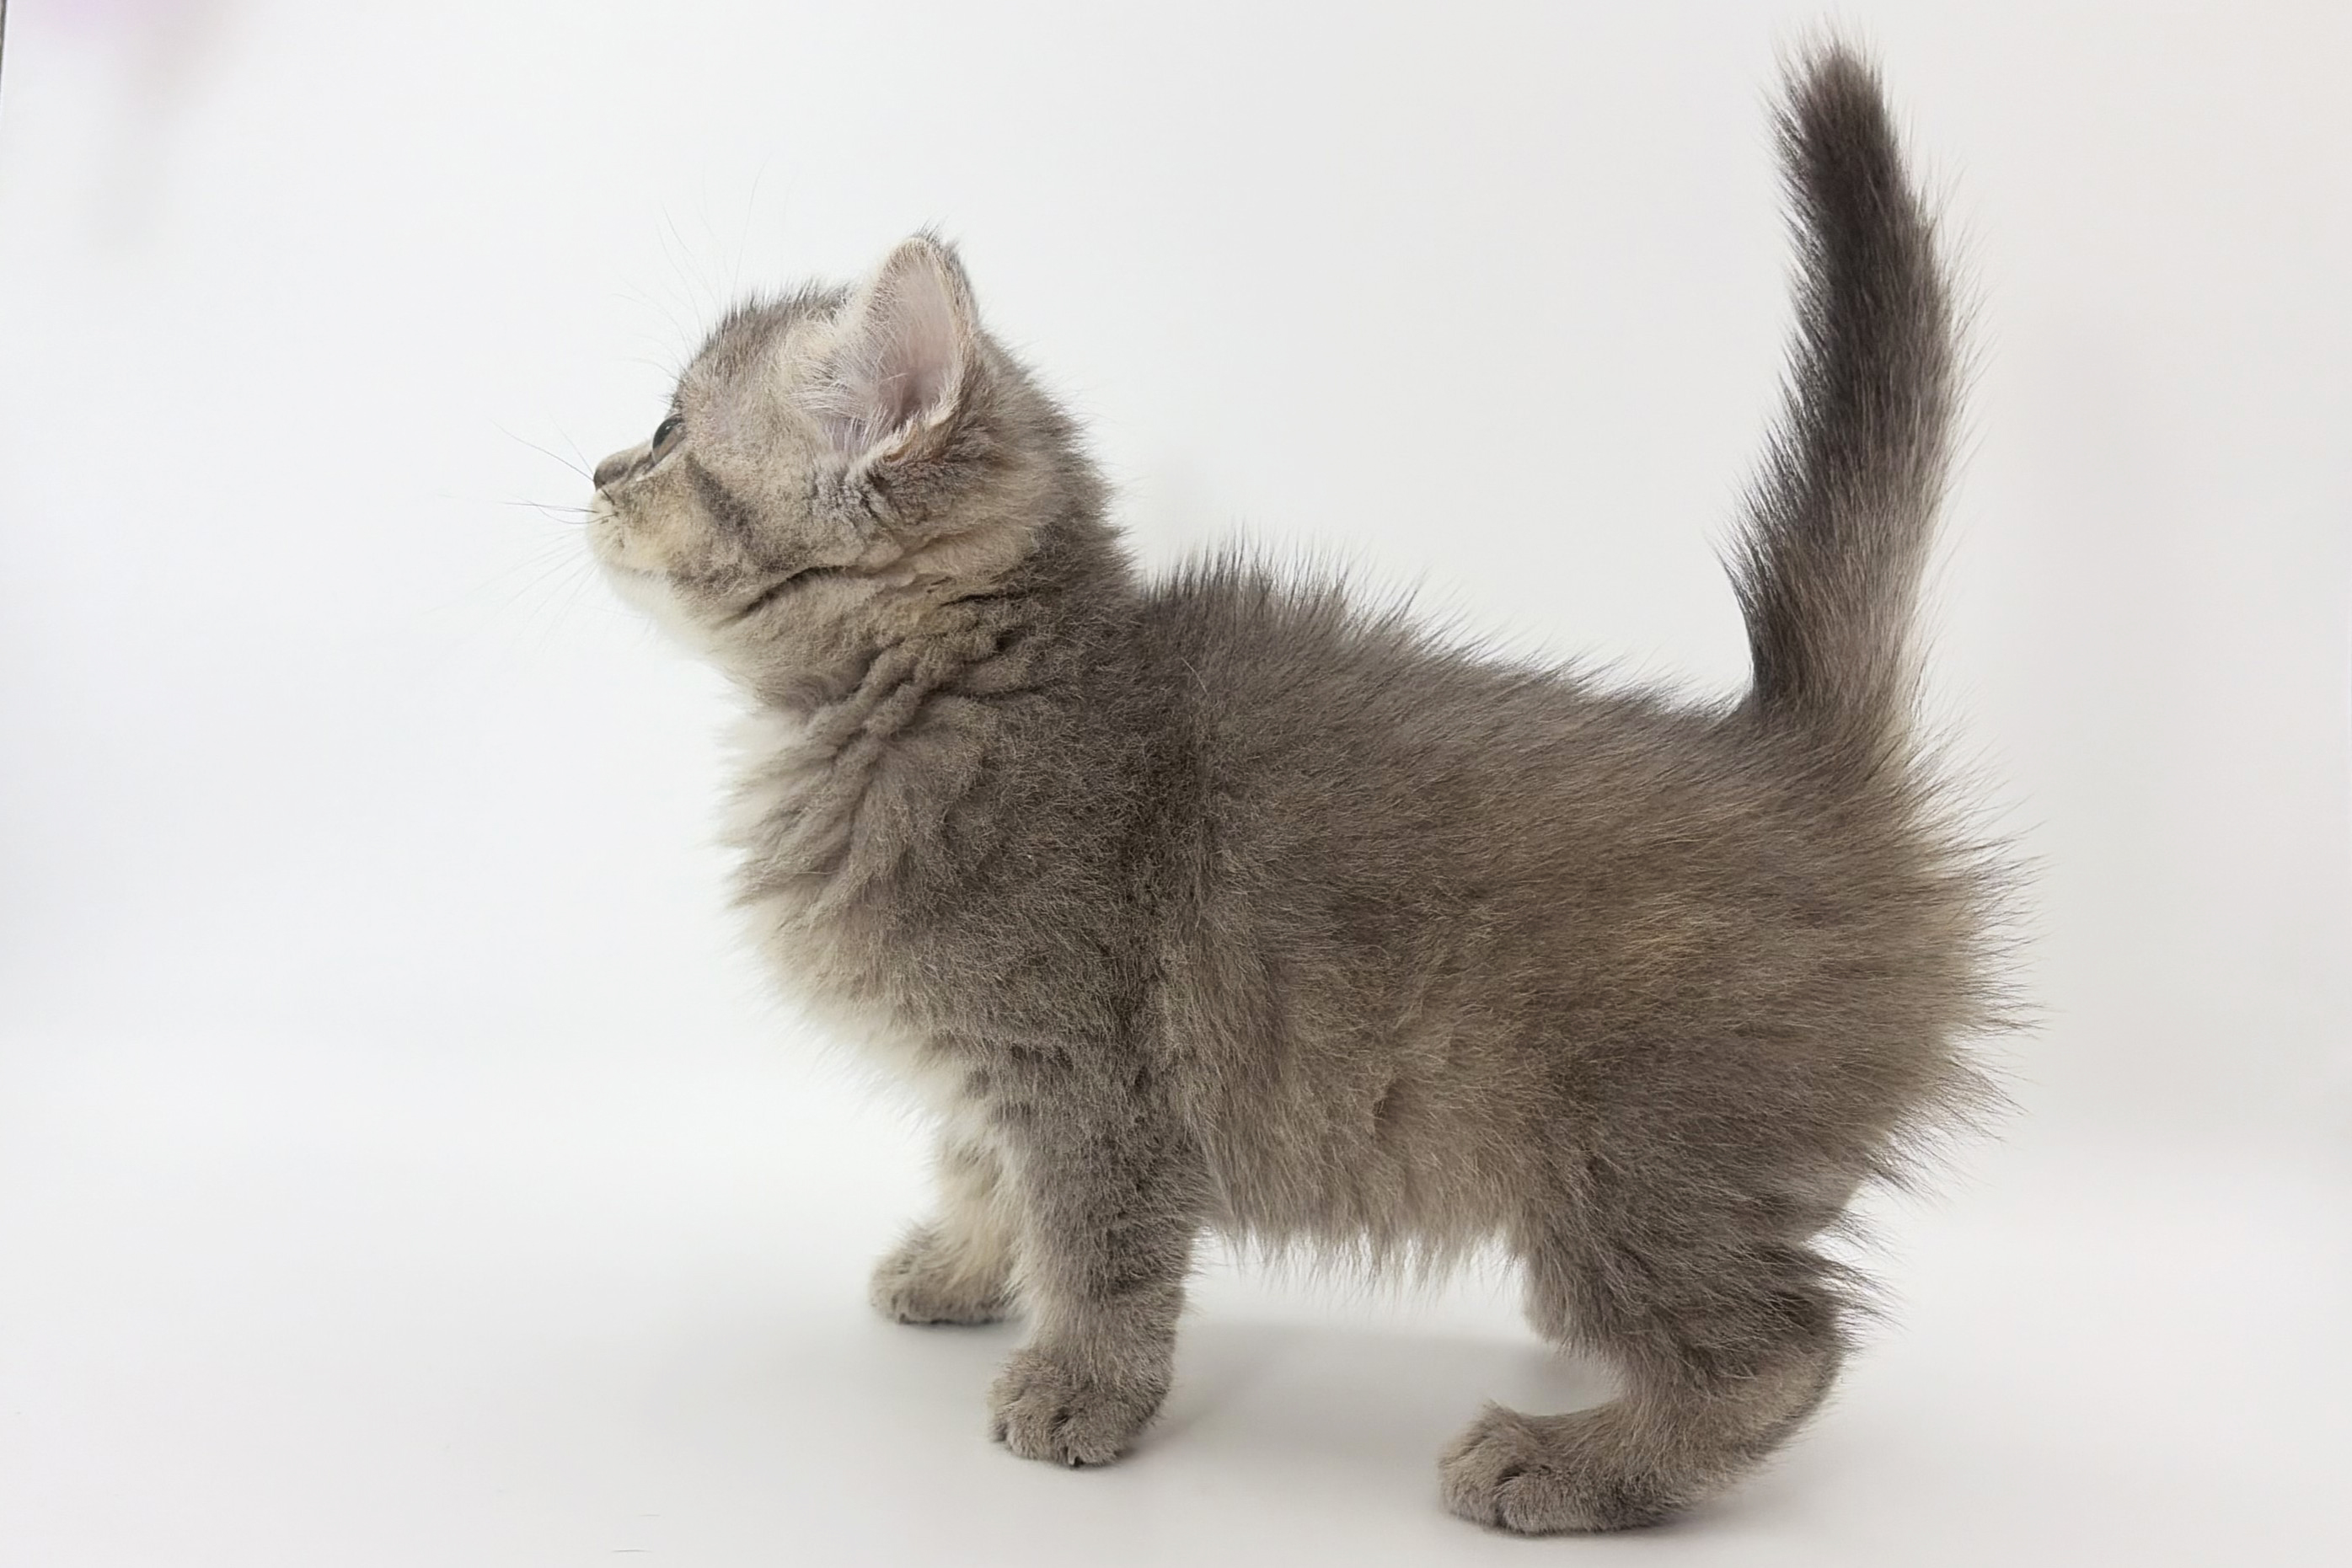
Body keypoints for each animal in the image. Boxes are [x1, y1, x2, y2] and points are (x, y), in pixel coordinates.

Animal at [583, 42, 2010, 1534]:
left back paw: (1571, 1460)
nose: (596, 472)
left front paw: (1077, 1390)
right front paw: (959, 1267)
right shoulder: (993, 1069)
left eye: (670, 431)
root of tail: (1800, 759)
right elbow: (977, 1165)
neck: (961, 694)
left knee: (1779, 1350)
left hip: (1620, 1153)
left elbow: (1096, 1245)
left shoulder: (1090, 1074)